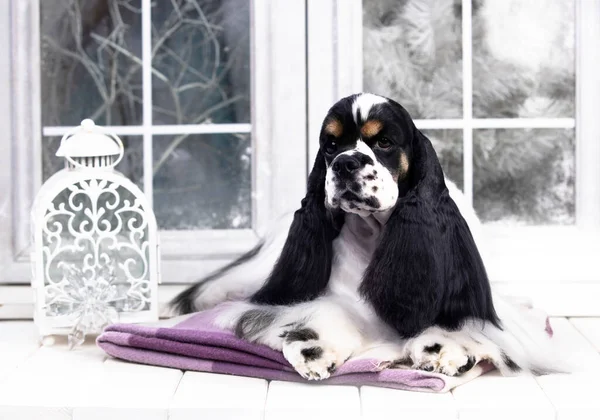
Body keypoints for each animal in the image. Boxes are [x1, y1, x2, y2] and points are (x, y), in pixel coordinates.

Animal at [169, 92, 568, 380]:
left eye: (385, 142)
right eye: (330, 145)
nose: (346, 163)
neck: (378, 234)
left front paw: (443, 349)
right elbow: (321, 312)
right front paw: (313, 349)